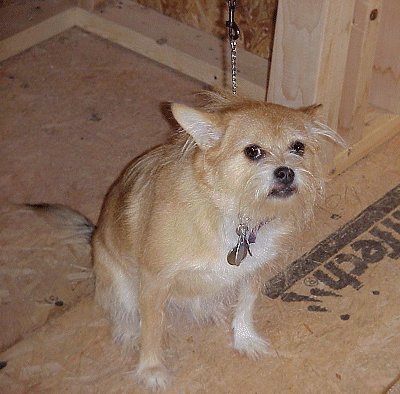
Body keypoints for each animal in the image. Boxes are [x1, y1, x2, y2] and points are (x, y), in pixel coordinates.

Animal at [90, 91, 344, 390]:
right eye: (253, 151)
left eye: (298, 147)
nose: (286, 172)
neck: (236, 215)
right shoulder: (155, 280)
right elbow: (152, 329)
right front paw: (151, 368)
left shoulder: (254, 271)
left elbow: (245, 307)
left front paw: (244, 338)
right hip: (121, 282)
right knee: (123, 310)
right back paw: (129, 333)